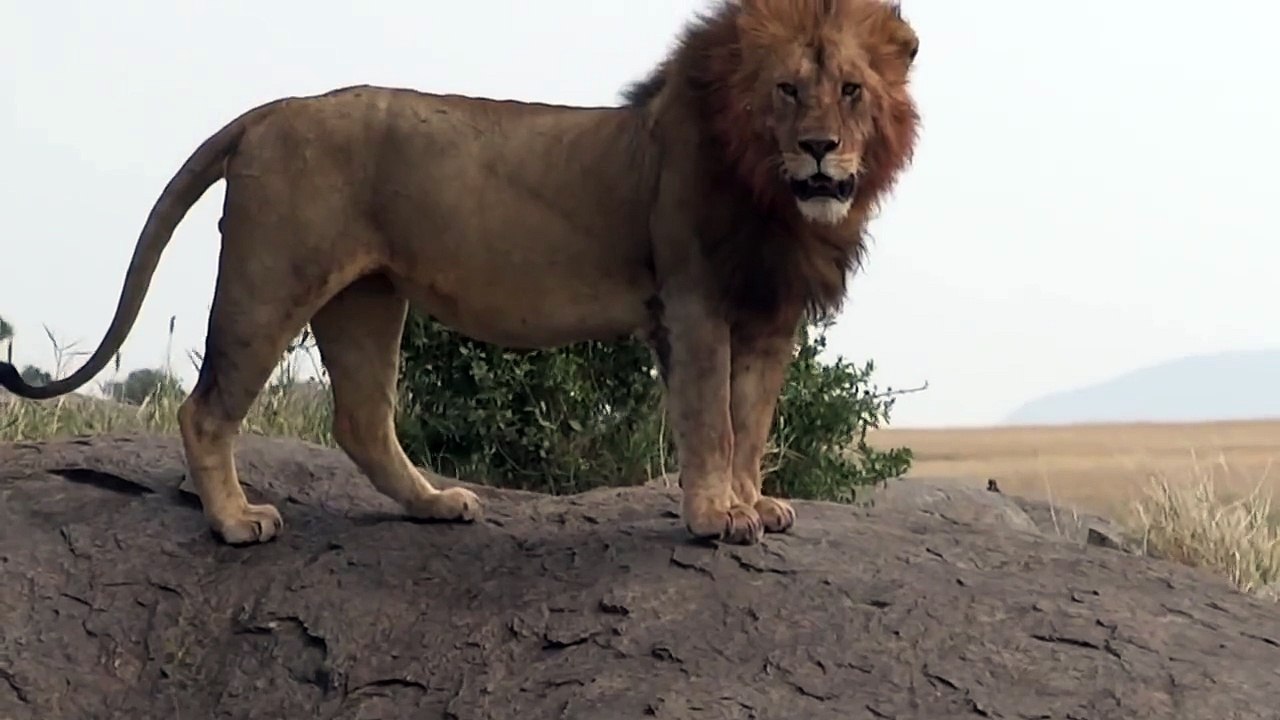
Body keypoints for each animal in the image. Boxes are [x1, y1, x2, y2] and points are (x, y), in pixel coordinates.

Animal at [0, 0, 919, 547]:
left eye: (851, 90)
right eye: (787, 91)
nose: (820, 149)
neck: (774, 192)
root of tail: (273, 109)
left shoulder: (770, 312)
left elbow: (753, 421)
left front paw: (753, 504)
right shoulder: (693, 300)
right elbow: (712, 423)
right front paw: (713, 518)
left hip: (365, 299)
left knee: (361, 422)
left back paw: (436, 504)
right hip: (273, 277)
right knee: (206, 408)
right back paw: (234, 522)